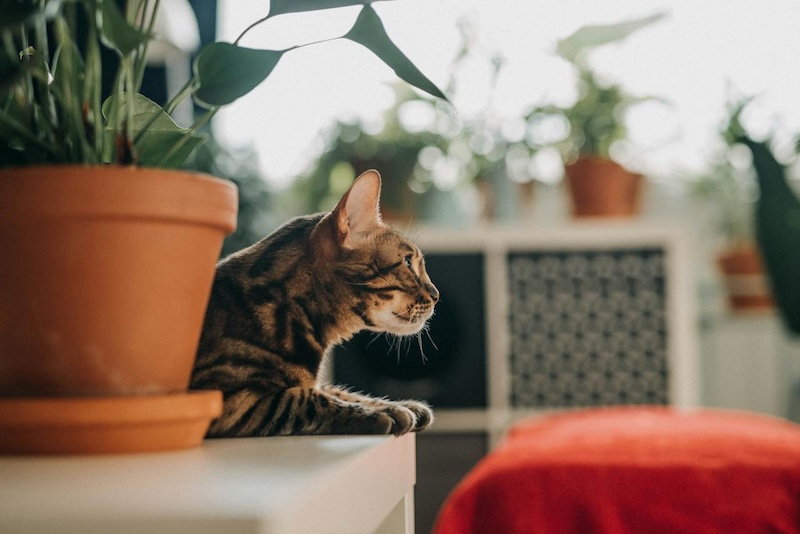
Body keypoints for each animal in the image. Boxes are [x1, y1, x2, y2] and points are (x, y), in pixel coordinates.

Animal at [189, 171, 438, 440]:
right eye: (408, 263)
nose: (437, 295)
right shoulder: (230, 399)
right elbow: (306, 398)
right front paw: (381, 413)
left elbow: (335, 390)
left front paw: (397, 404)